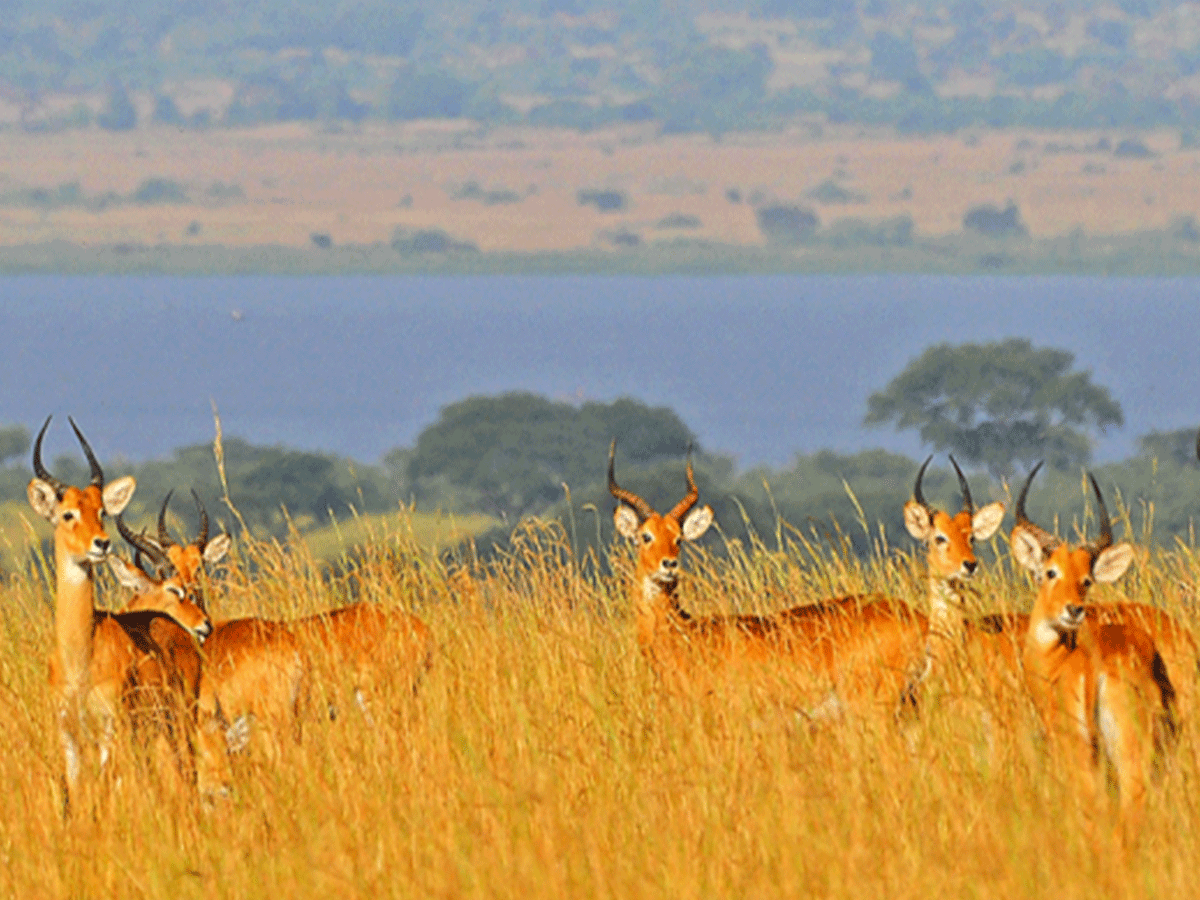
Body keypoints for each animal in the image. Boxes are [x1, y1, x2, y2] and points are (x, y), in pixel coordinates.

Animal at [27, 415, 201, 801]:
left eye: (101, 511)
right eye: (67, 513)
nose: (102, 543)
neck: (80, 656)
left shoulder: (110, 725)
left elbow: (107, 785)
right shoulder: (68, 731)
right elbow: (76, 790)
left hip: (180, 720)